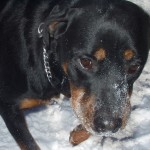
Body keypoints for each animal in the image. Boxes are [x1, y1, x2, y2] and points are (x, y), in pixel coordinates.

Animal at [0, 0, 149, 149]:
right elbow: (29, 143)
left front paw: (78, 133)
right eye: (85, 62)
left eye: (134, 67)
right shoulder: (8, 104)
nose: (109, 126)